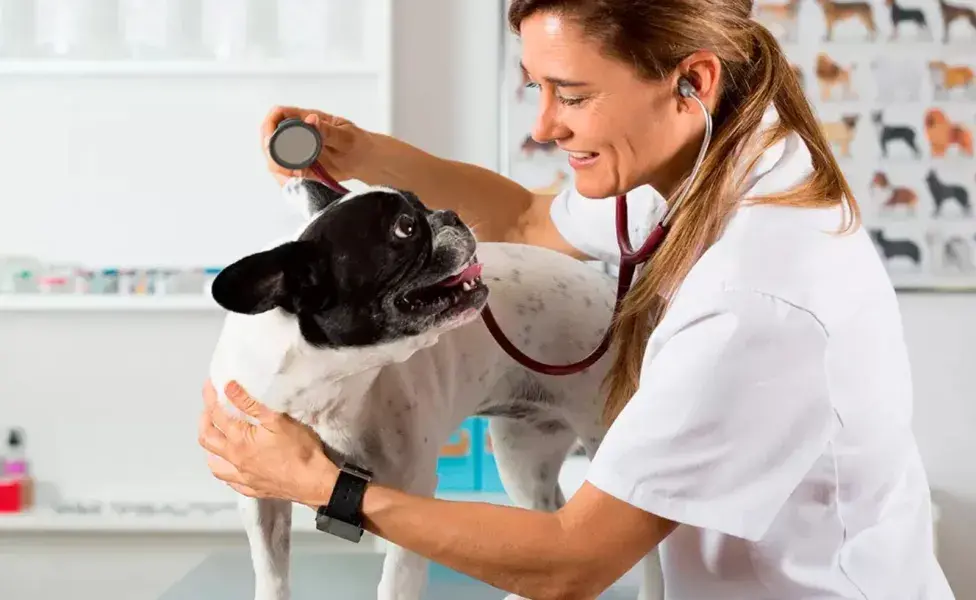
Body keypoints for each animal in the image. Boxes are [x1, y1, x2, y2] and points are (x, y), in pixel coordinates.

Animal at [209, 178, 660, 600]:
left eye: (421, 205)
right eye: (405, 228)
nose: (449, 214)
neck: (330, 390)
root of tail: (620, 300)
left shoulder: (408, 499)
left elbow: (396, 583)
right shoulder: (260, 499)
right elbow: (272, 575)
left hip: (602, 442)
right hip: (522, 457)